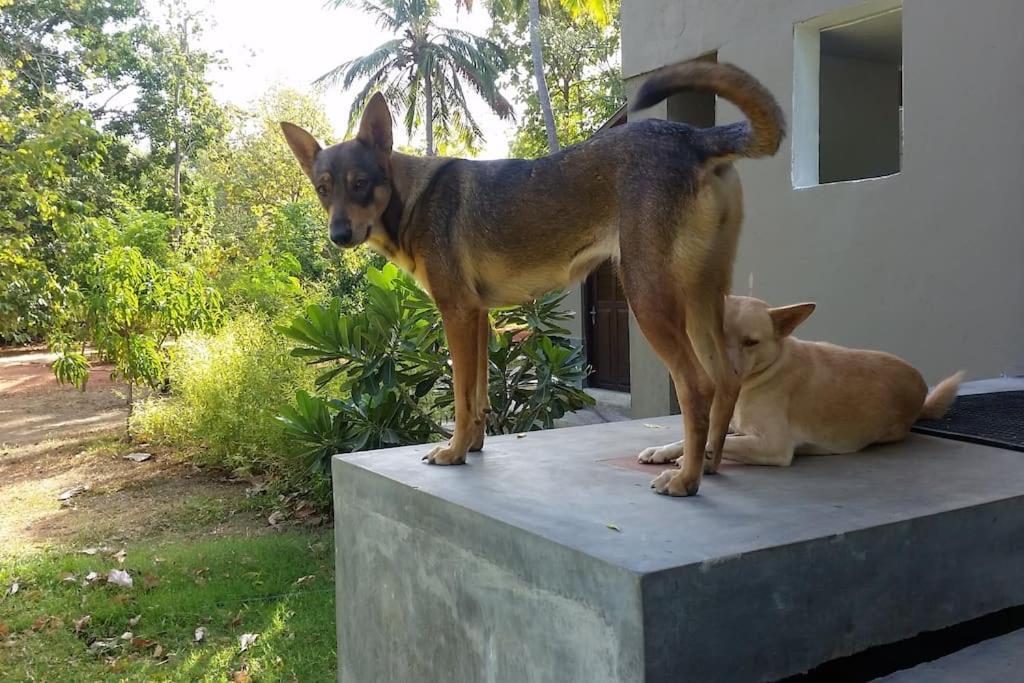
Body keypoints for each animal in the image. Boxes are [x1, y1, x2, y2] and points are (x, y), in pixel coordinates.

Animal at [280, 61, 782, 497]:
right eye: (323, 189)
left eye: (360, 183)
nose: (338, 235)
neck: (411, 196)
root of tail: (693, 136)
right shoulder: (477, 317)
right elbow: (478, 396)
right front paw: (472, 446)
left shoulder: (455, 314)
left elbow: (460, 397)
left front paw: (453, 452)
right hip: (703, 298)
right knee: (727, 379)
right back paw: (710, 464)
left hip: (649, 299)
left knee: (697, 386)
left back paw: (686, 479)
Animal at [634, 296, 962, 466]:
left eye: (751, 342)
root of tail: (920, 387)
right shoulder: (730, 426)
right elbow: (692, 438)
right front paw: (662, 450)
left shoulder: (773, 446)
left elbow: (723, 444)